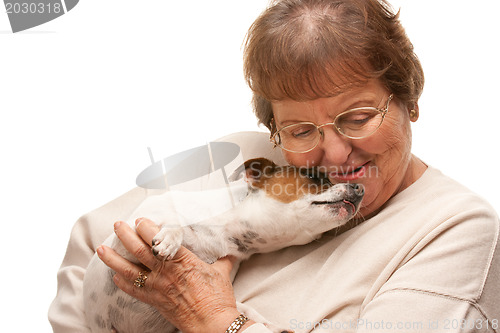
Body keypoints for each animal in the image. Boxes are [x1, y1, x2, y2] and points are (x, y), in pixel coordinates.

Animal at [82, 157, 364, 330]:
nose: (360, 188)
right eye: (313, 177)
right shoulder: (122, 241)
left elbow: (239, 307)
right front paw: (171, 237)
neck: (226, 229)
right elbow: (176, 221)